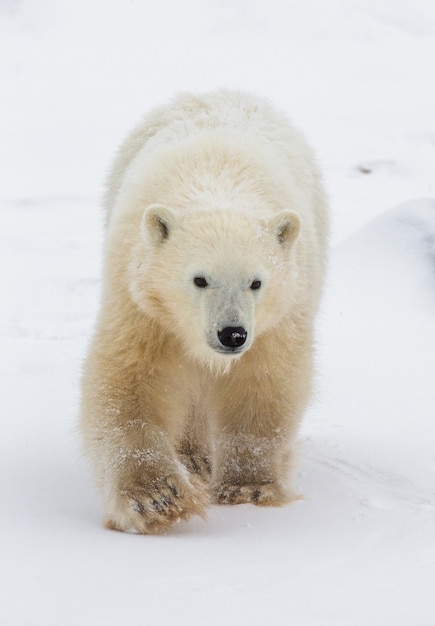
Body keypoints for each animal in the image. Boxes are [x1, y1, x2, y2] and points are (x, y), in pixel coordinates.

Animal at [80, 90, 328, 532]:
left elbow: (265, 381)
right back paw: (193, 456)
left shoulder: (281, 314)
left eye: (256, 282)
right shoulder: (143, 304)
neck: (217, 182)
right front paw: (156, 498)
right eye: (199, 279)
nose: (232, 334)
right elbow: (131, 381)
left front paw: (248, 487)